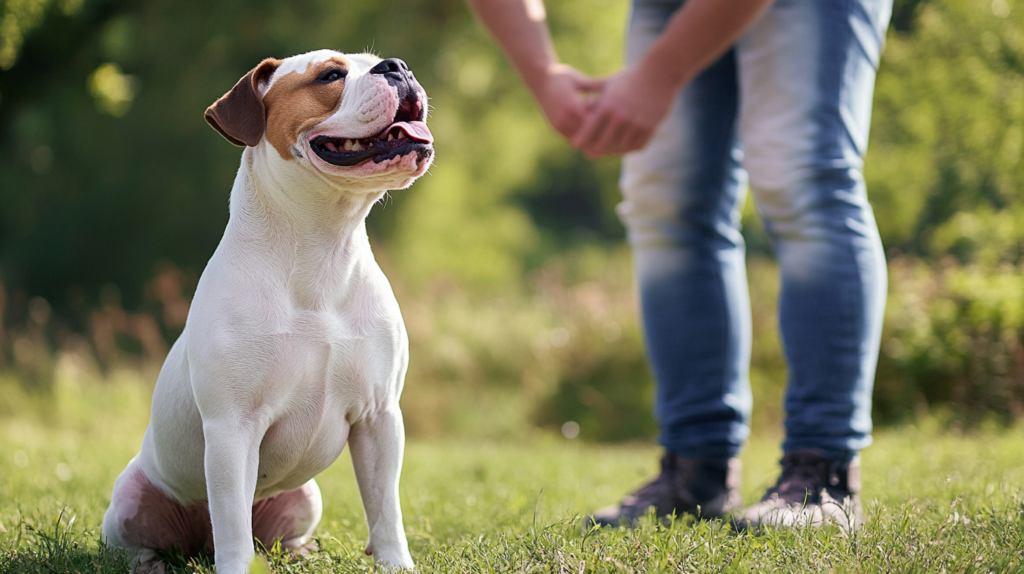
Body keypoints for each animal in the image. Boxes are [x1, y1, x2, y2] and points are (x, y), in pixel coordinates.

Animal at [103, 50, 436, 572]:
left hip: (306, 496)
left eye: (375, 61)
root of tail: (198, 543)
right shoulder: (233, 428)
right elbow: (233, 524)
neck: (323, 247)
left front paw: (395, 563)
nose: (397, 66)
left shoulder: (379, 416)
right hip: (129, 498)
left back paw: (302, 553)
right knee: (156, 539)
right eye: (331, 75)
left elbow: (385, 508)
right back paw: (151, 562)